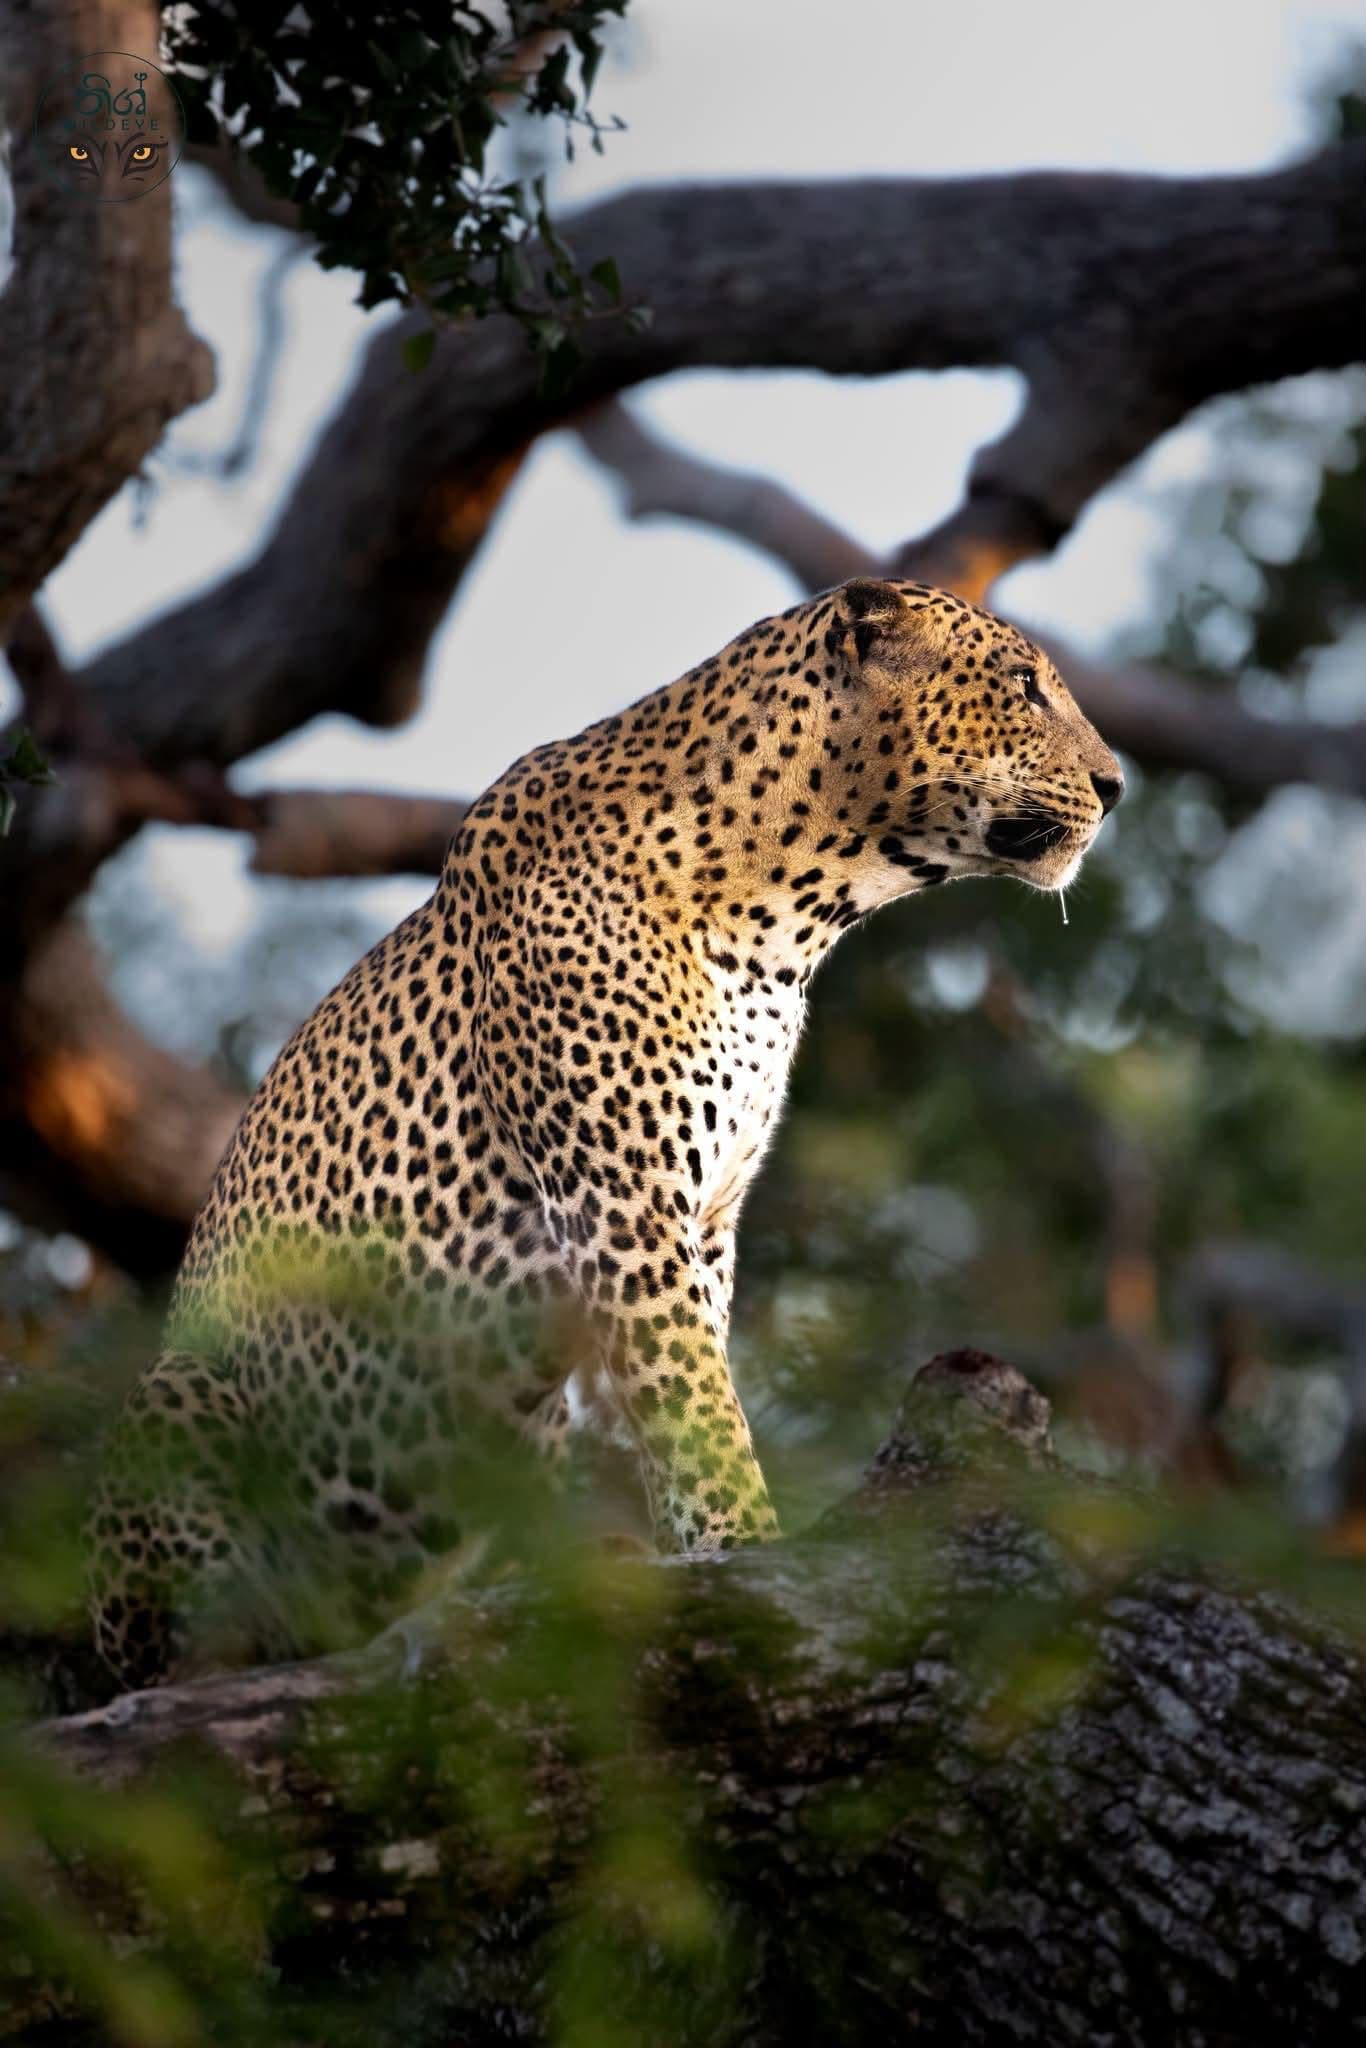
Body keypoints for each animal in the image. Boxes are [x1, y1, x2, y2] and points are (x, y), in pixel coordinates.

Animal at [88, 577, 1123, 1689]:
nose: (1115, 787)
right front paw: (750, 1551)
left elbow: (685, 1393)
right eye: (1023, 686)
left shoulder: (706, 1223)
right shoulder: (624, 1205)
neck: (792, 917)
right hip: (177, 1403)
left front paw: (694, 1552)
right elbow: (696, 1407)